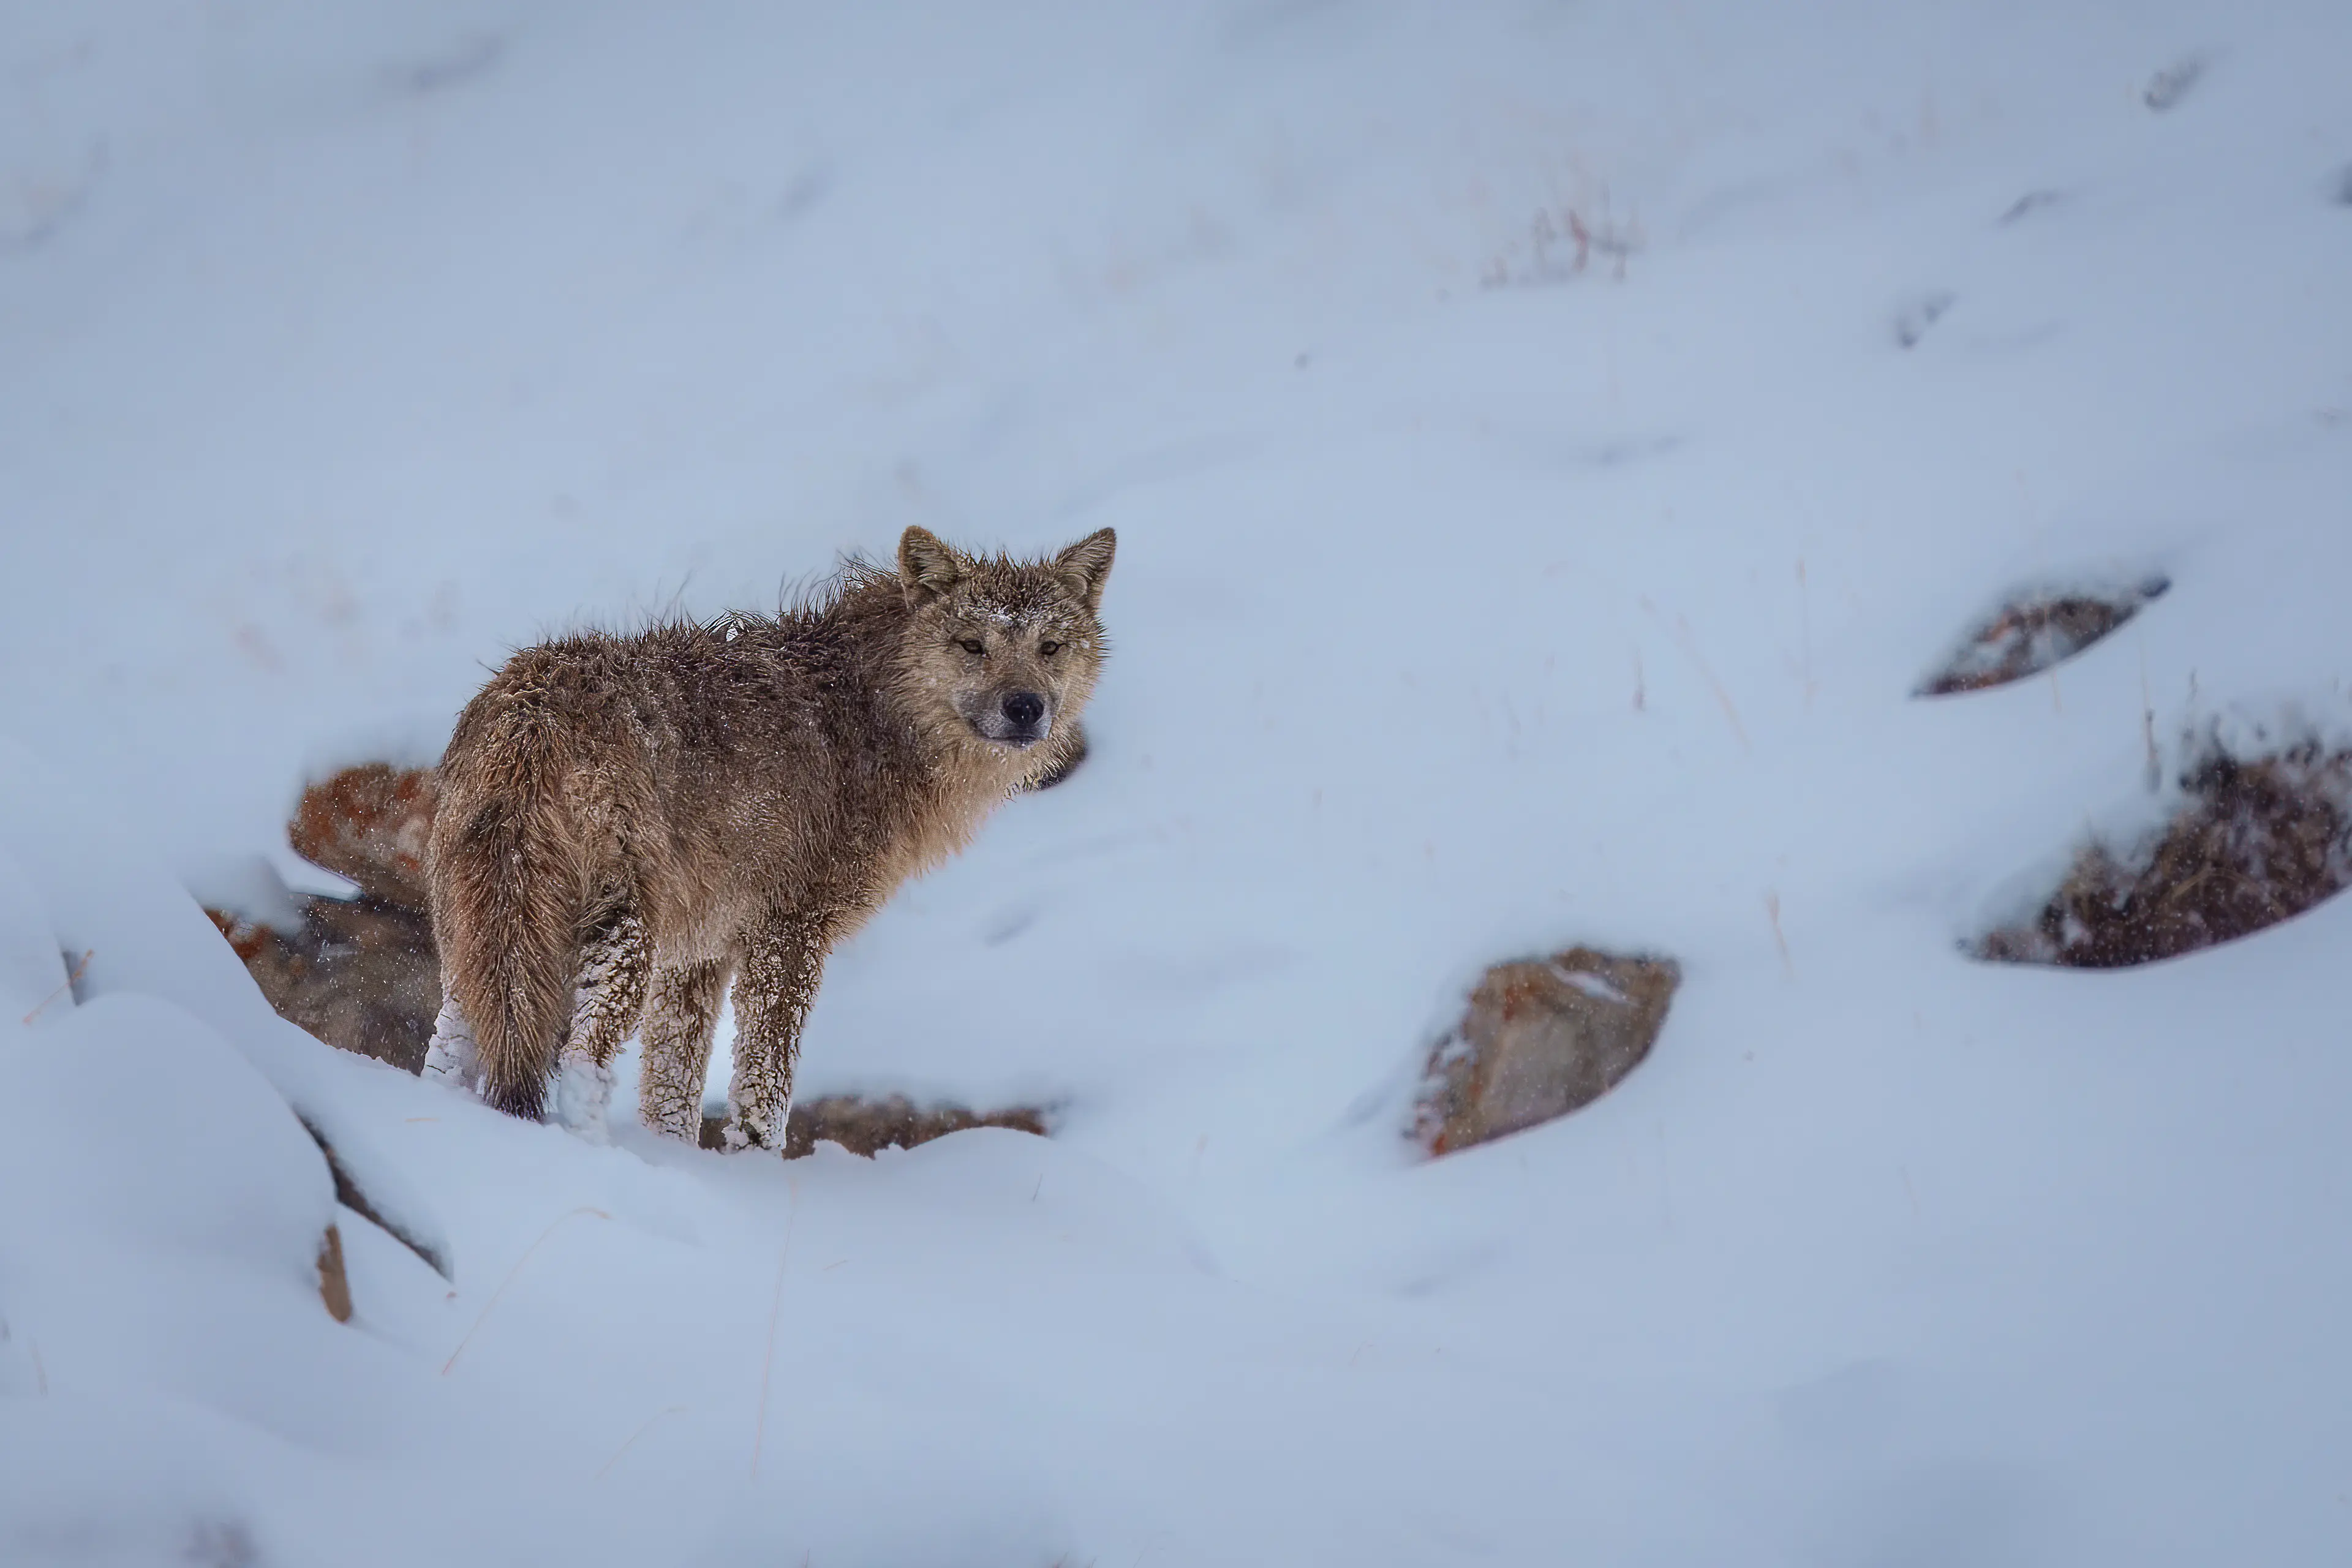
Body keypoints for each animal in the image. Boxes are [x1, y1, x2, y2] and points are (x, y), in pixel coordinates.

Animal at [419, 525, 1114, 1150]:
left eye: (1051, 647)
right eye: (972, 645)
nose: (1025, 707)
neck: (871, 717)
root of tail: (530, 714)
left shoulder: (698, 958)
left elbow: (671, 1098)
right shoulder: (789, 933)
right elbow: (765, 1093)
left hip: (482, 938)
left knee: (450, 1056)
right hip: (616, 936)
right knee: (580, 1063)